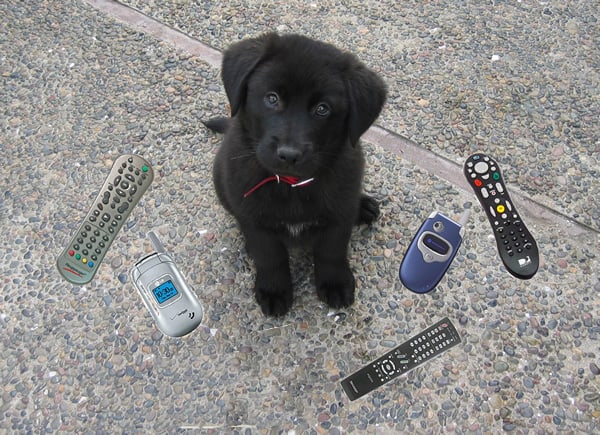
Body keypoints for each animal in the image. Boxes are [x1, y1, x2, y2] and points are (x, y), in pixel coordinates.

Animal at [205, 32, 384, 316]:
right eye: (272, 98)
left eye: (322, 109)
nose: (289, 154)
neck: (292, 185)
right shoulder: (255, 219)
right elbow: (271, 257)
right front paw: (274, 290)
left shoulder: (339, 215)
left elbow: (332, 252)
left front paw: (335, 283)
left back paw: (364, 205)